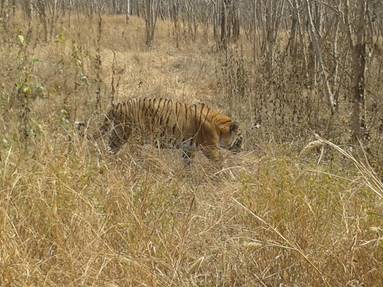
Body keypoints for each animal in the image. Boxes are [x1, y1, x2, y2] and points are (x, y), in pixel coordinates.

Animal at [82, 98, 243, 165]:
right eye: (240, 139)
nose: (241, 150)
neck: (220, 128)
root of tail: (118, 105)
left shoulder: (188, 149)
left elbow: (187, 164)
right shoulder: (211, 149)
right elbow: (221, 163)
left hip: (117, 135)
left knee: (108, 151)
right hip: (133, 137)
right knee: (133, 155)